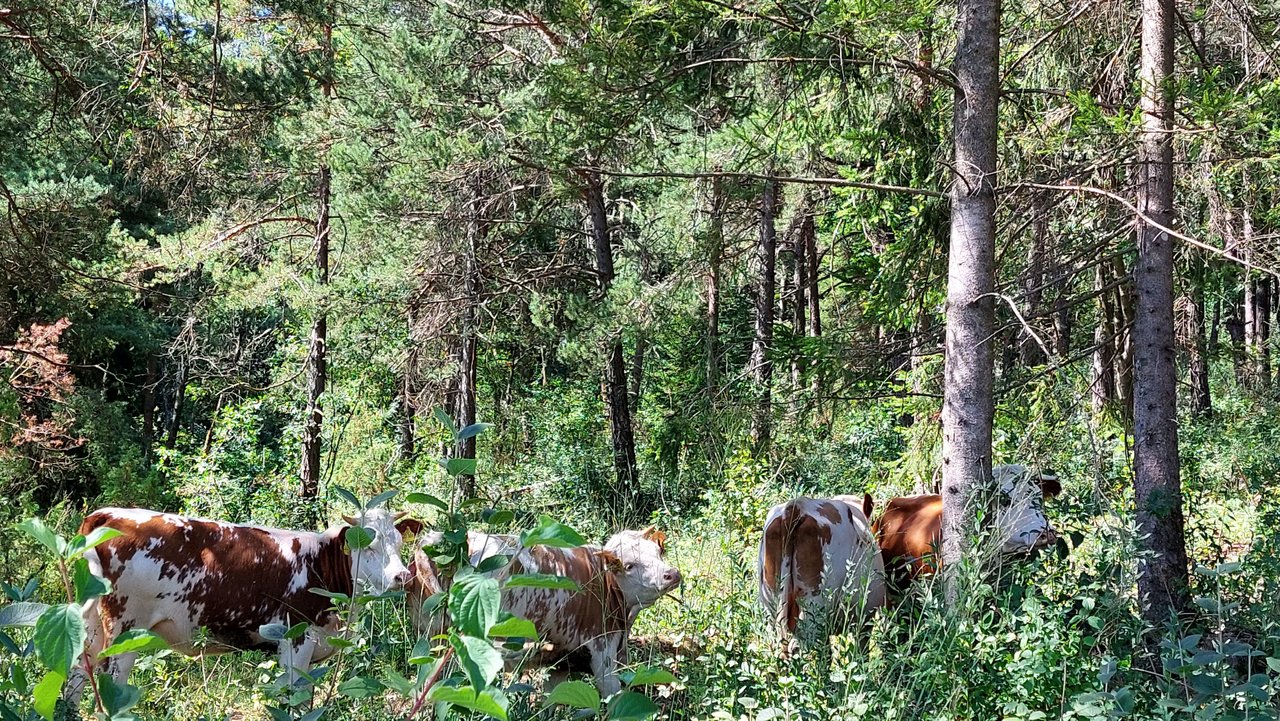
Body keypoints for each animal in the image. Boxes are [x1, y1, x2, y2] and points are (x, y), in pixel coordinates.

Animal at [66, 507, 416, 701]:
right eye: (367, 546)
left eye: (399, 543)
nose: (401, 576)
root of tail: (109, 513)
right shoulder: (296, 640)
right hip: (125, 629)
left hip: (91, 624)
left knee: (78, 673)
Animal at [406, 526, 681, 696]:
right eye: (629, 565)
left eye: (659, 552)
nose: (672, 574)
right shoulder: (603, 650)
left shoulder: (559, 660)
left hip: (430, 636)